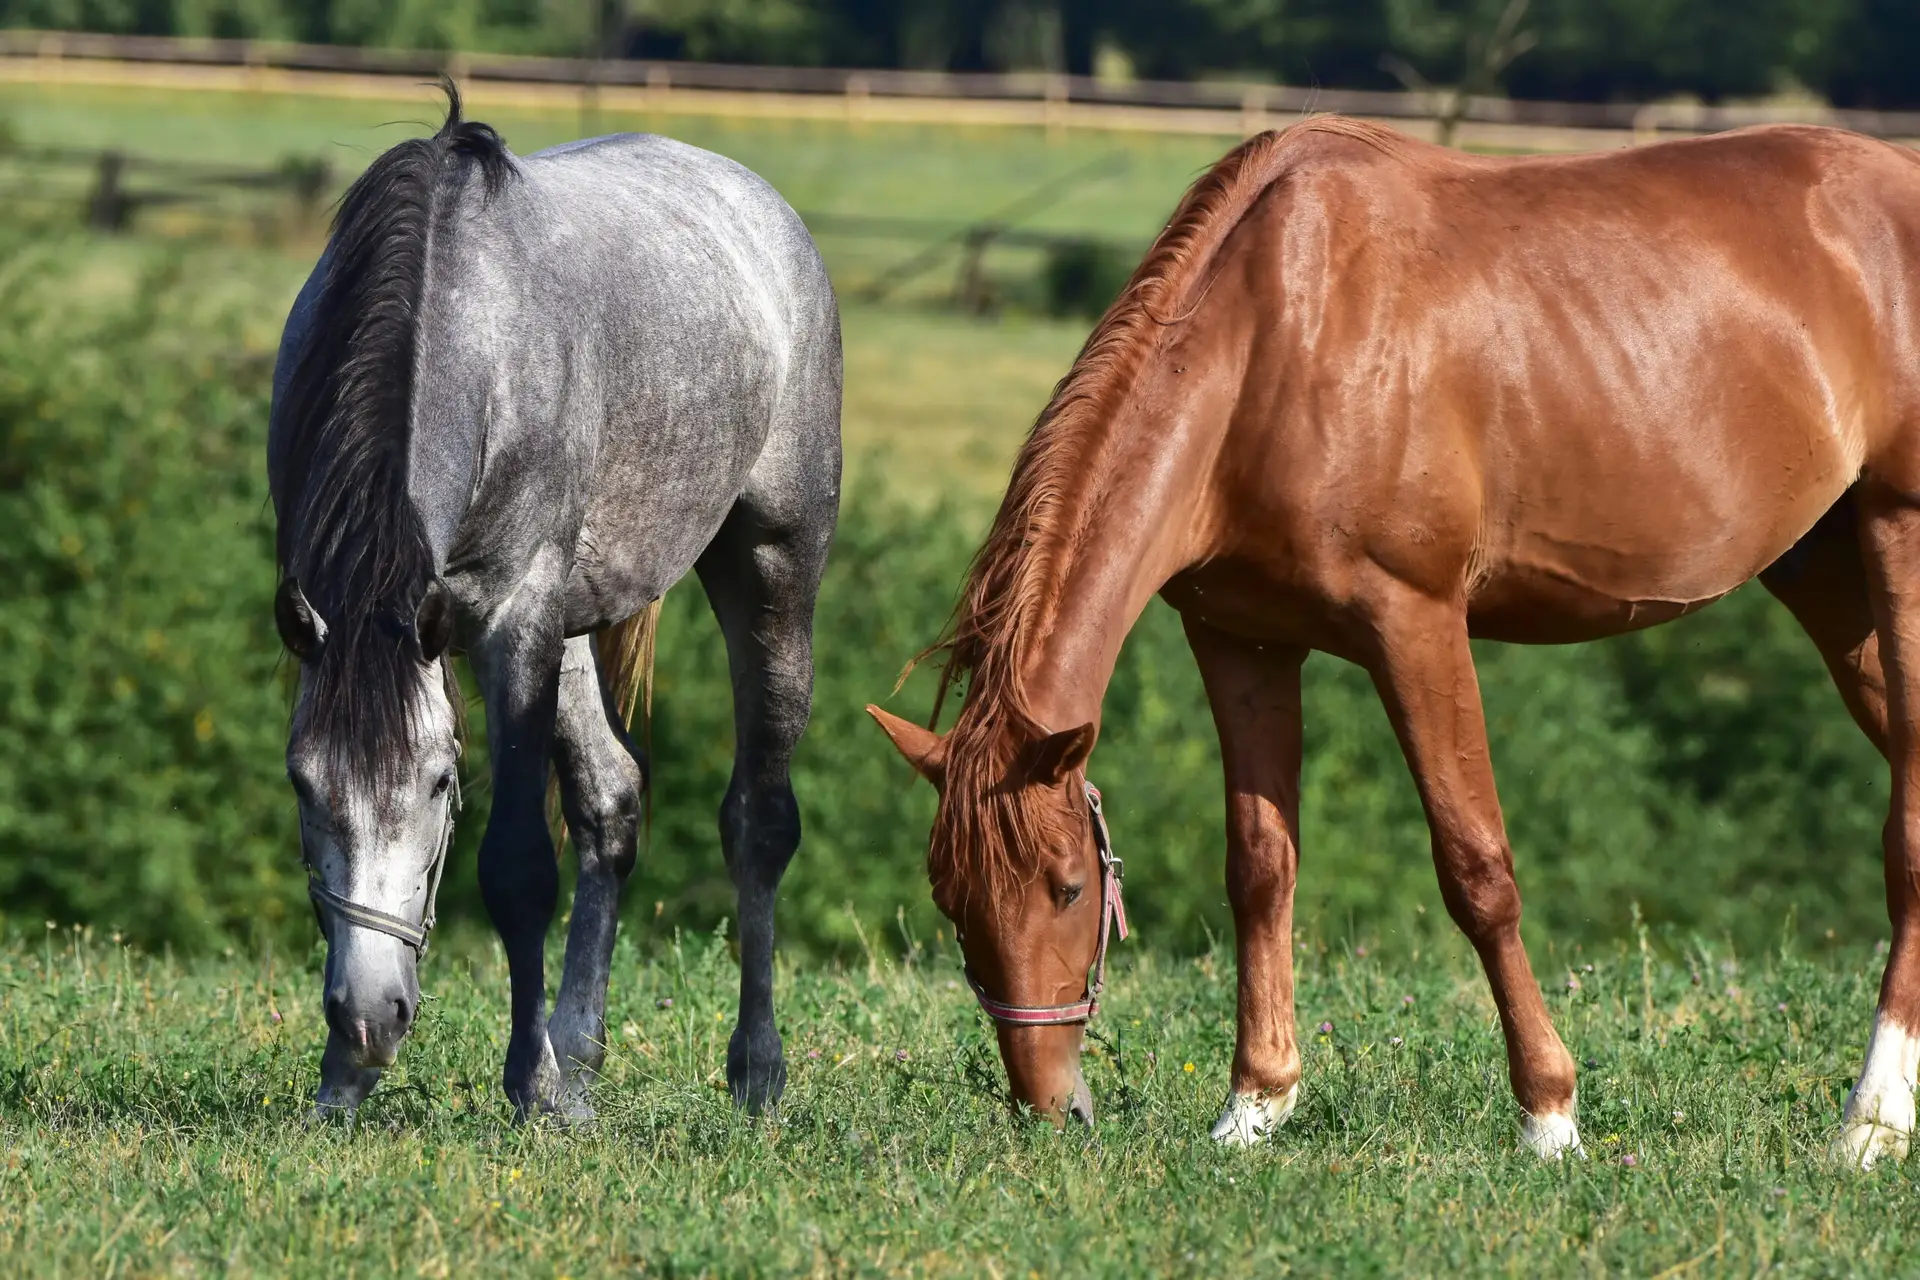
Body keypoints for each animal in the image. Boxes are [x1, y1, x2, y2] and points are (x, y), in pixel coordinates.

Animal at [269, 87, 840, 1121]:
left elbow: (518, 869)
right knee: (612, 799)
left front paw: (526, 1085)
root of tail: (766, 213)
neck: (459, 324)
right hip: (566, 626)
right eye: (302, 784)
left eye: (440, 783)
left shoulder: (511, 618)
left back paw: (755, 1069)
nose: (370, 1019)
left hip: (771, 566)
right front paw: (342, 1081)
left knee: (760, 821)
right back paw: (578, 1057)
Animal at [869, 116, 1920, 1165]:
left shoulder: (1414, 624)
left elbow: (1477, 870)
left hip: (1894, 541)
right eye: (951, 902)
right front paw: (1255, 1105)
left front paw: (1550, 1115)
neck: (1271, 344)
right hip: (1828, 578)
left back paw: (1871, 1121)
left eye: (1066, 888)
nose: (1052, 1110)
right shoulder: (1239, 641)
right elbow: (1260, 865)